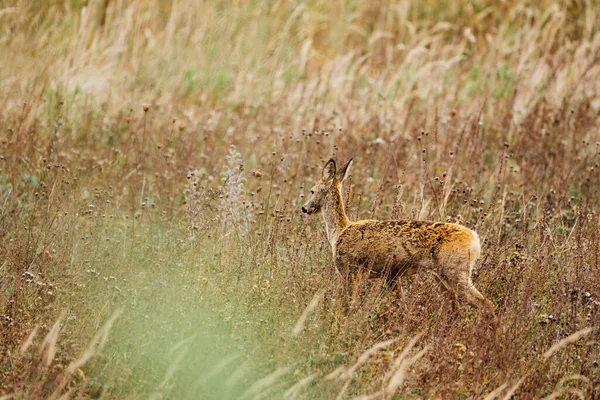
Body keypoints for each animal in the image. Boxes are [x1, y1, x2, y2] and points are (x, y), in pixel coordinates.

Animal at [302, 157, 494, 316]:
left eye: (312, 191)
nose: (304, 208)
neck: (340, 231)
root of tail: (475, 239)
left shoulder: (349, 270)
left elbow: (350, 304)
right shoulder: (391, 276)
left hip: (455, 271)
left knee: (486, 304)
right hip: (444, 276)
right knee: (457, 307)